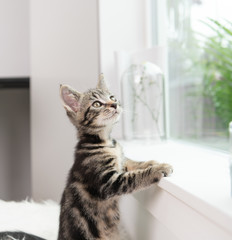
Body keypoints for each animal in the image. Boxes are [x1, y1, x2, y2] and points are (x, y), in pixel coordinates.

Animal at [58, 74, 172, 239]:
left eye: (112, 97)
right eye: (97, 104)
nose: (115, 104)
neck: (106, 141)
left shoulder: (122, 162)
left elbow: (134, 163)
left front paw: (154, 163)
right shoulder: (108, 182)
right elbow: (134, 177)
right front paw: (157, 170)